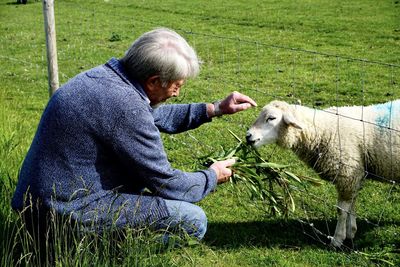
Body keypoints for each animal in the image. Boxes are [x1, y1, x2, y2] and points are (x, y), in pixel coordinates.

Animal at [245, 100, 398, 249]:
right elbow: (352, 205)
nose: (248, 136)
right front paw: (351, 232)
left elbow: (341, 210)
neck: (323, 130)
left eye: (271, 118)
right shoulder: (354, 176)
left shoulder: (347, 174)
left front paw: (337, 239)